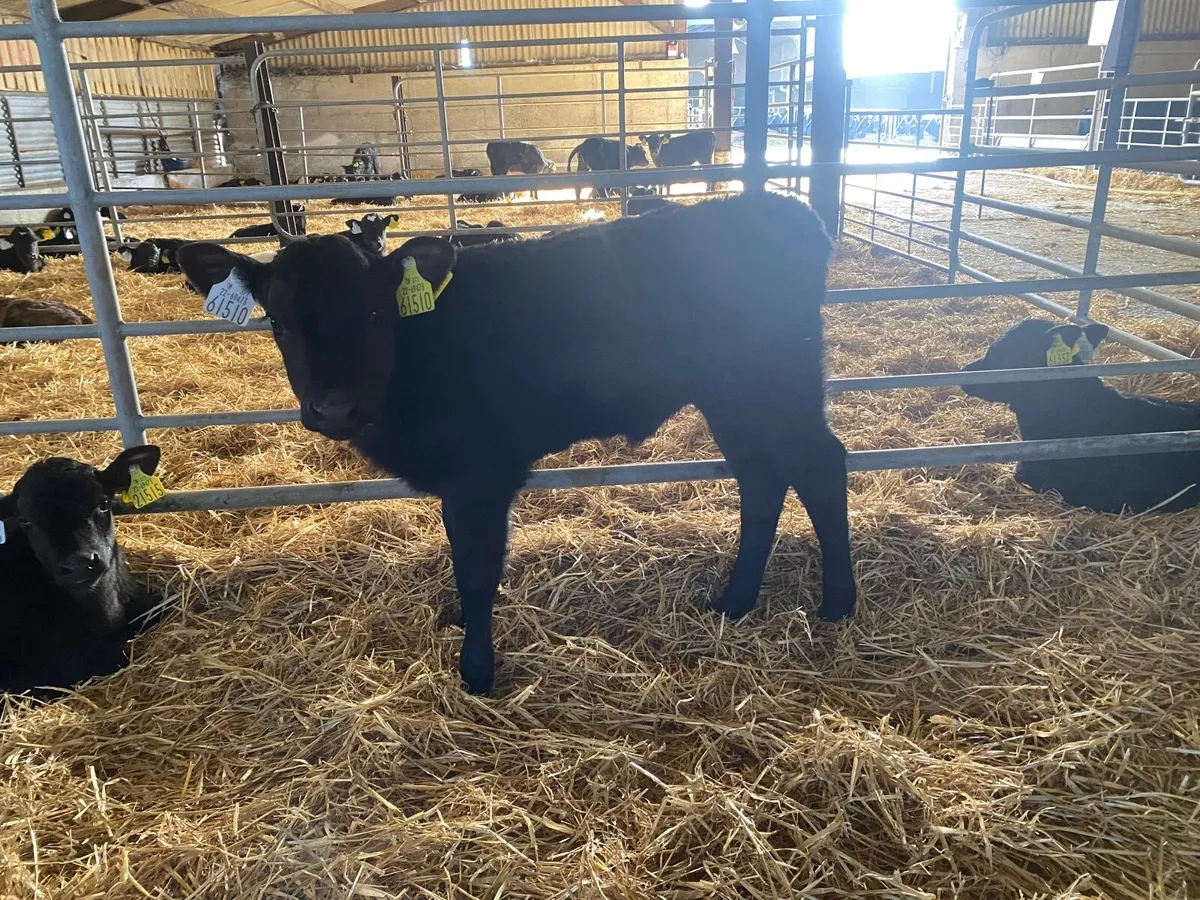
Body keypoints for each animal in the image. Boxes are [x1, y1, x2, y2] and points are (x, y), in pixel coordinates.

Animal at [177, 191, 856, 696]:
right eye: (278, 321)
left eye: (374, 313)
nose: (336, 407)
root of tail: (786, 210)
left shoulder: (479, 476)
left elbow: (478, 570)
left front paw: (476, 670)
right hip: (733, 398)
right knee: (762, 476)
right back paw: (734, 600)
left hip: (773, 383)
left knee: (819, 465)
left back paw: (838, 602)